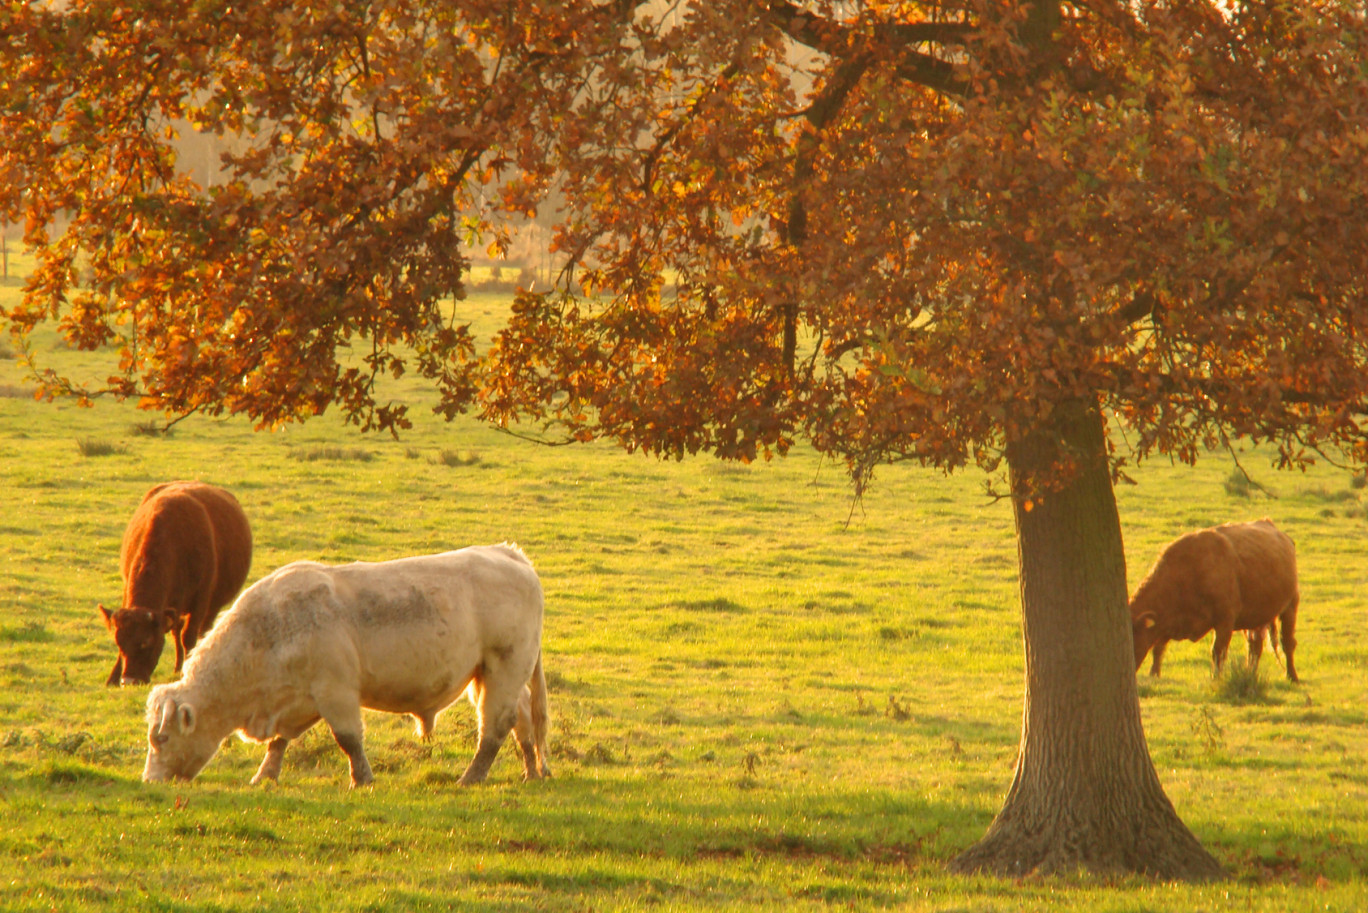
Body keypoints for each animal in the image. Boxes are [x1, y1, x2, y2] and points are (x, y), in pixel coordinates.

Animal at [101, 479, 254, 684]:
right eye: (119, 643)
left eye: (146, 642)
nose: (130, 680)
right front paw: (113, 677)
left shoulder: (201, 600)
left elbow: (188, 636)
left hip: (211, 606)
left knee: (201, 632)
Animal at [142, 542, 549, 788]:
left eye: (161, 738)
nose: (150, 781)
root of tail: (508, 553)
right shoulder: (298, 699)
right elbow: (279, 741)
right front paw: (265, 777)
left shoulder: (335, 691)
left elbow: (349, 739)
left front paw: (362, 779)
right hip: (493, 676)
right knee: (523, 721)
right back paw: (531, 771)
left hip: (505, 668)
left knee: (495, 726)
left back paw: (471, 777)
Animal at [1132, 517, 1302, 681]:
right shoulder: (1167, 622)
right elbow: (1158, 649)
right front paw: (1154, 674)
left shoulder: (1224, 622)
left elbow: (1218, 652)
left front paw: (1216, 677)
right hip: (1255, 618)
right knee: (1254, 647)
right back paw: (1251, 673)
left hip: (1290, 607)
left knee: (1287, 643)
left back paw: (1292, 675)